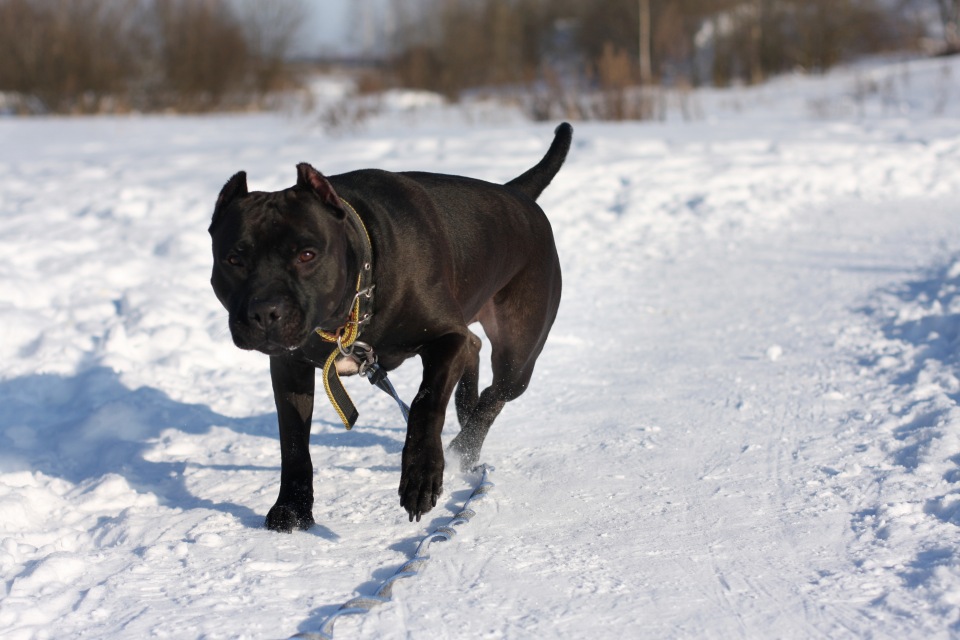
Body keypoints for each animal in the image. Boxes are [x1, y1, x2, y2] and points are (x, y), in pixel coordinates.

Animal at [209, 123, 571, 532]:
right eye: (234, 259)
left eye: (307, 254)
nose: (265, 311)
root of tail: (516, 193)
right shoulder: (290, 367)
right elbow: (294, 442)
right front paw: (293, 507)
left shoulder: (446, 338)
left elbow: (425, 403)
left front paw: (421, 476)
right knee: (476, 350)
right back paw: (465, 410)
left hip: (518, 353)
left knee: (495, 393)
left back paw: (462, 447)